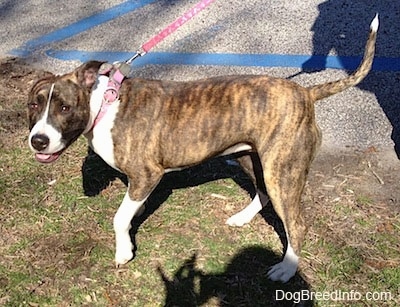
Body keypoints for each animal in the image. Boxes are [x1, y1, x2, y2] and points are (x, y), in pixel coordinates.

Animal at [27, 15, 378, 282]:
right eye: (34, 105)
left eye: (64, 108)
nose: (38, 140)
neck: (104, 104)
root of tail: (306, 93)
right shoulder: (140, 181)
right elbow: (129, 208)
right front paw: (135, 216)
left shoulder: (147, 173)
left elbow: (118, 217)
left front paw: (124, 250)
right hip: (251, 157)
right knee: (263, 192)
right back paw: (242, 218)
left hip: (283, 170)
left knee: (296, 223)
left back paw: (287, 269)